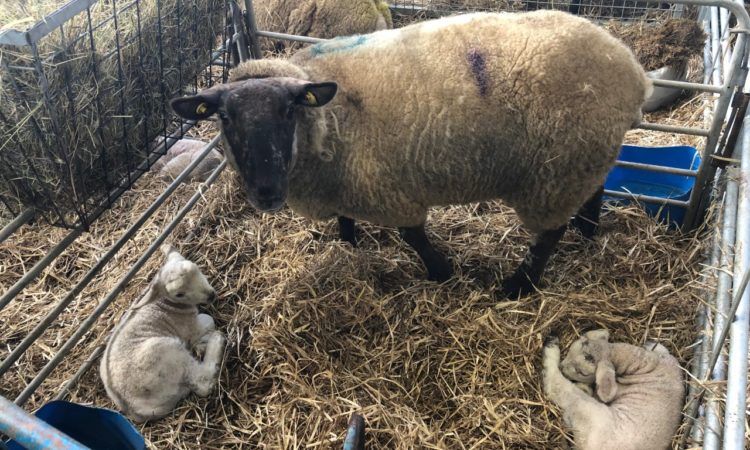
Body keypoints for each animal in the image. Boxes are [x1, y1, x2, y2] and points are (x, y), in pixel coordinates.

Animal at [99, 244, 225, 422]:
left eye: (196, 268)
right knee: (202, 382)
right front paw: (204, 339)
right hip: (166, 352)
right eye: (179, 294)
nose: (211, 295)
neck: (163, 303)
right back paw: (216, 340)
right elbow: (208, 320)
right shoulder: (190, 327)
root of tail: (134, 410)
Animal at [170, 10, 651, 297]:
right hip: (581, 160)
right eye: (225, 117)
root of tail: (632, 70)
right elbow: (347, 220)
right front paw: (349, 245)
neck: (330, 119)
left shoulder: (388, 187)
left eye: (289, 110)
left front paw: (441, 272)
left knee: (549, 234)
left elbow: (413, 236)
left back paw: (519, 285)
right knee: (597, 187)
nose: (266, 193)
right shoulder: (345, 178)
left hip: (554, 173)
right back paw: (588, 231)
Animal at [541, 329, 684, 450]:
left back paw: (551, 346)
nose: (562, 367)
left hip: (587, 410)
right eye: (572, 349)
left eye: (581, 372)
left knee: (556, 384)